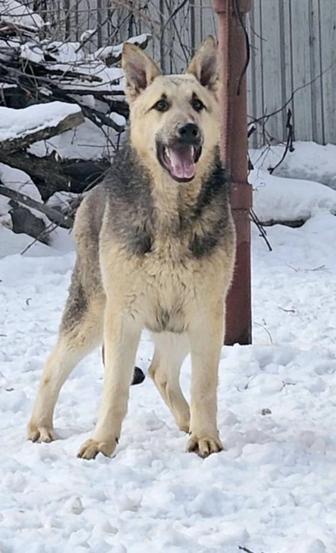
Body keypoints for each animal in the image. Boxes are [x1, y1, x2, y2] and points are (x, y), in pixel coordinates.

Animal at [26, 36, 236, 460]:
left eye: (198, 104)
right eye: (161, 105)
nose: (188, 131)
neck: (171, 212)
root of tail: (93, 193)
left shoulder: (206, 313)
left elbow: (204, 386)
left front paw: (205, 435)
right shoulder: (123, 316)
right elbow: (115, 387)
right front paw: (103, 441)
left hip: (177, 321)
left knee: (161, 372)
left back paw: (188, 421)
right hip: (93, 313)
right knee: (54, 365)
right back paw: (40, 425)